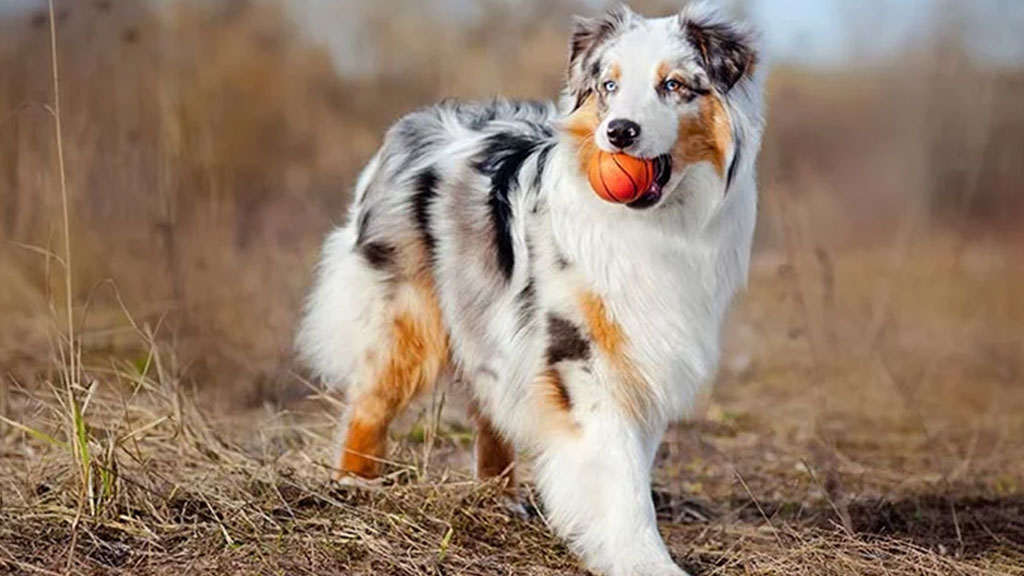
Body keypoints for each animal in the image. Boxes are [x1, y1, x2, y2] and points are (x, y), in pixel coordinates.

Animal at [296, 4, 761, 573]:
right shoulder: (580, 354)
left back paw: (499, 498)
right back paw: (355, 483)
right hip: (408, 316)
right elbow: (620, 477)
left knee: (490, 406)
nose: (619, 133)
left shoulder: (642, 355)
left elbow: (629, 465)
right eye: (609, 86)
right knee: (371, 399)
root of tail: (414, 124)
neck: (654, 225)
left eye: (672, 85)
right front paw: (643, 559)